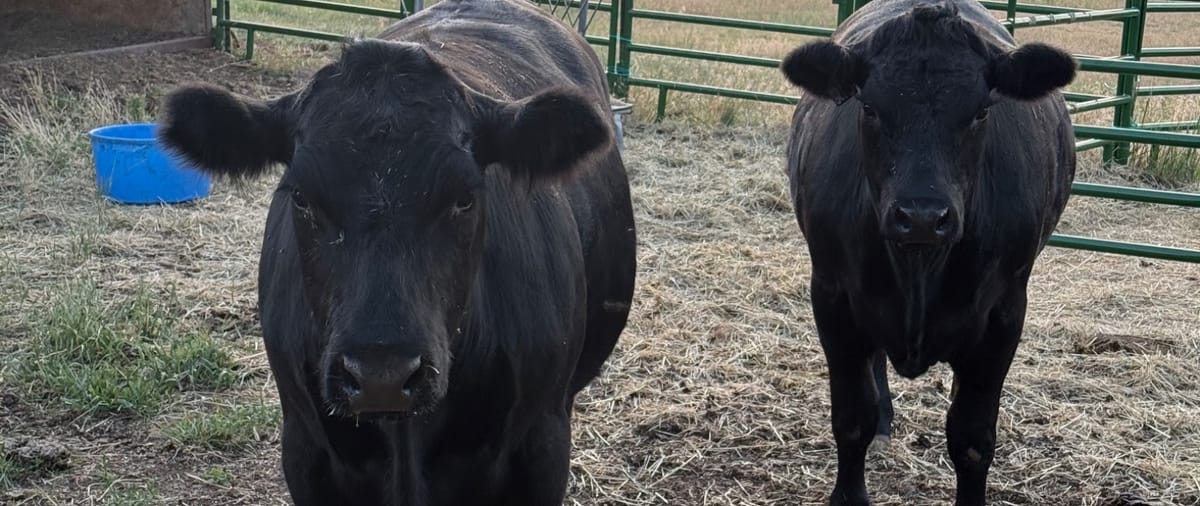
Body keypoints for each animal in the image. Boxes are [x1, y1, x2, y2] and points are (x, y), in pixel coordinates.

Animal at [779, 0, 1076, 504]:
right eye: (869, 106)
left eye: (981, 111)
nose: (921, 215)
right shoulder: (833, 297)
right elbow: (852, 418)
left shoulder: (1004, 313)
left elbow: (972, 438)